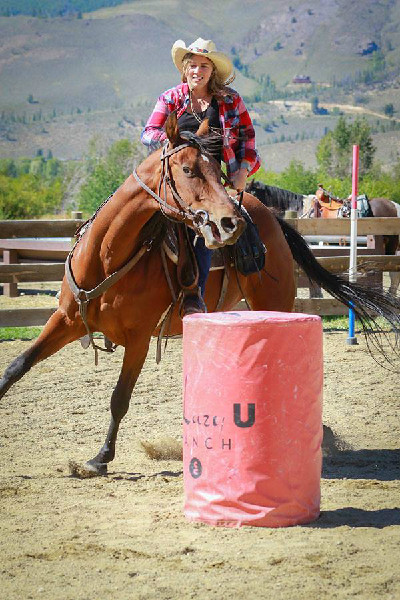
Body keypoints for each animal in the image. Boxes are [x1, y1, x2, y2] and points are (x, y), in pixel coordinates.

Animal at [0, 119, 400, 478]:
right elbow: (17, 366)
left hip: (274, 304)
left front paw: (100, 459)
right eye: (189, 169)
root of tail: (272, 220)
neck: (107, 256)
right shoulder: (66, 320)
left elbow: (119, 398)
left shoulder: (138, 340)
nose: (230, 222)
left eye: (216, 170)